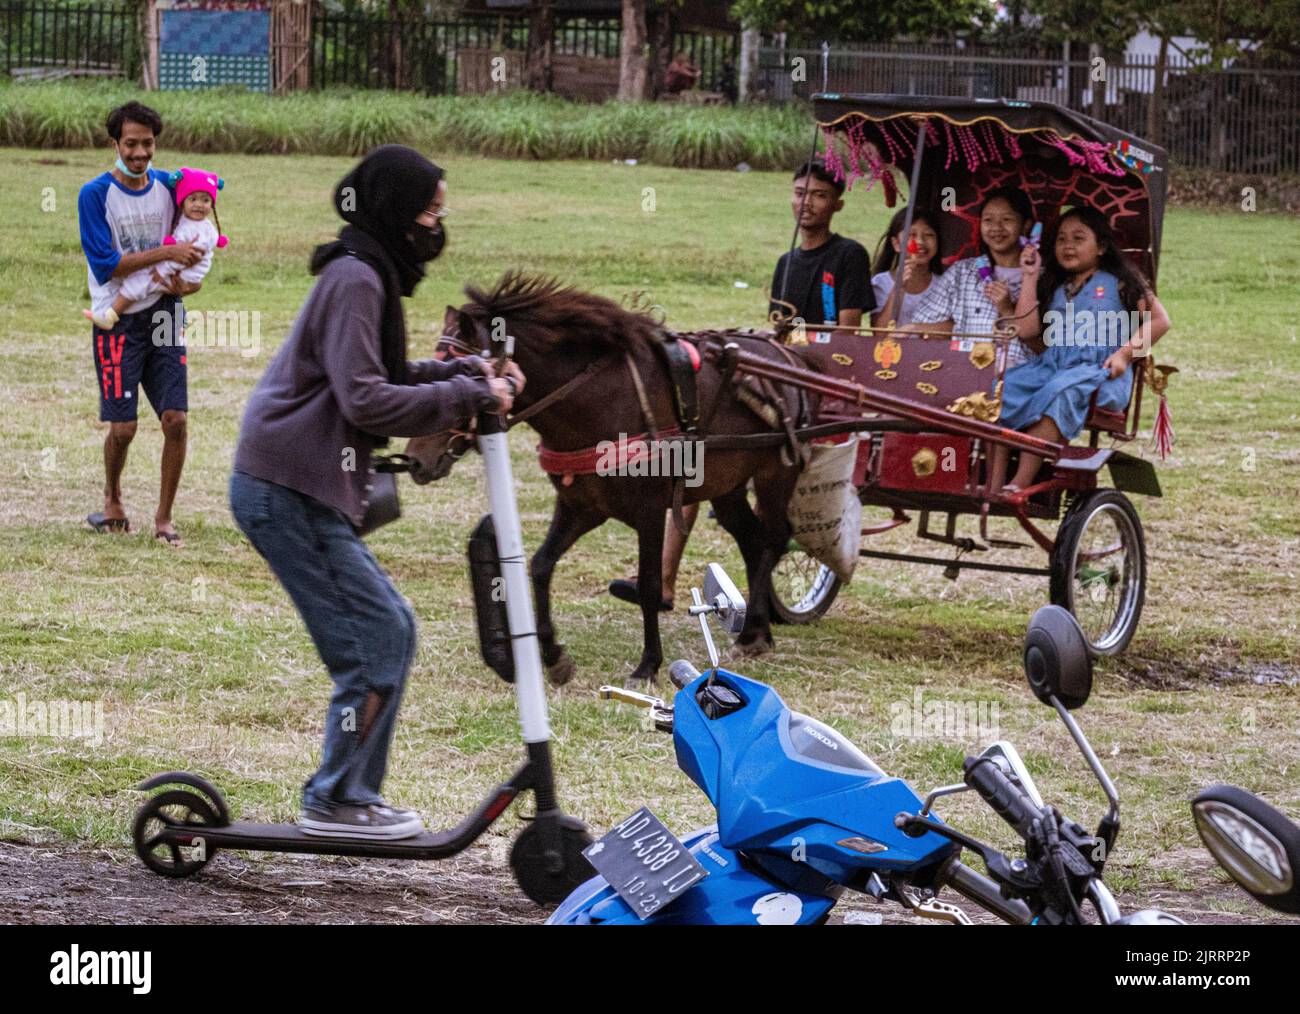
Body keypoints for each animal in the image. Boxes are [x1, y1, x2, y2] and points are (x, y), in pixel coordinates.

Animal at [421, 273, 816, 686]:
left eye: (466, 372)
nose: (418, 457)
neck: (597, 400)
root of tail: (790, 357)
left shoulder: (650, 510)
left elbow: (648, 586)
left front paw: (648, 664)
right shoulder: (581, 506)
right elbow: (541, 565)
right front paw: (553, 655)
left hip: (776, 474)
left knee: (774, 539)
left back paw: (756, 629)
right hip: (728, 487)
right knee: (755, 542)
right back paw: (754, 631)